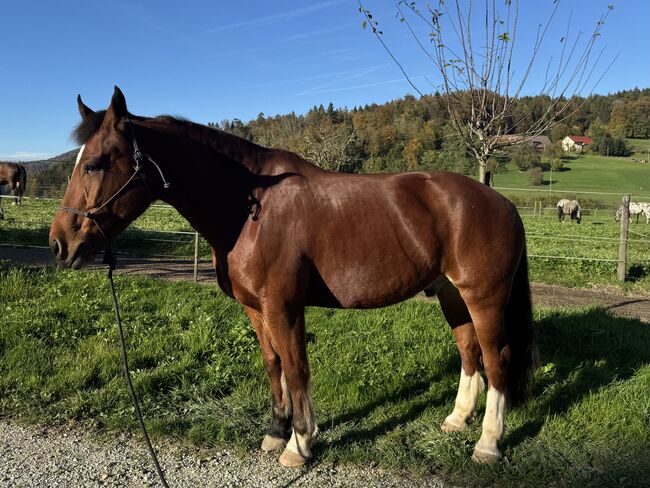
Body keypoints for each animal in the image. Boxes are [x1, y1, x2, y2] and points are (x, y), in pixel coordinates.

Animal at [49, 86, 536, 466]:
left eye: (94, 164)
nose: (59, 243)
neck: (249, 207)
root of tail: (503, 203)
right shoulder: (256, 309)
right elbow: (274, 364)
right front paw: (275, 432)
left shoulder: (284, 306)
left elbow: (297, 366)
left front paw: (299, 445)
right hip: (453, 297)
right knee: (470, 354)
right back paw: (455, 421)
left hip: (484, 299)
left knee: (496, 361)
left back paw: (488, 444)